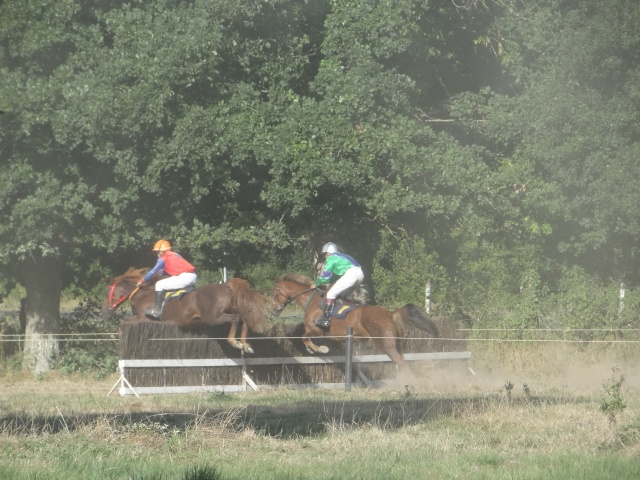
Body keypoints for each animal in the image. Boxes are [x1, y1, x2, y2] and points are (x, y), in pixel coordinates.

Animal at [101, 268, 274, 354]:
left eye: (107, 292)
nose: (102, 312)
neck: (142, 294)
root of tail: (226, 286)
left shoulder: (144, 319)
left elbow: (124, 322)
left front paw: (120, 337)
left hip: (213, 317)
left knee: (236, 319)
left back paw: (234, 342)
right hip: (229, 310)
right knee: (244, 320)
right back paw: (245, 345)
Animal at [270, 274, 440, 372]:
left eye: (274, 293)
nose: (274, 311)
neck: (311, 301)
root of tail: (390, 314)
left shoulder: (317, 330)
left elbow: (303, 337)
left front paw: (321, 349)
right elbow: (304, 337)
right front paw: (311, 350)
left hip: (387, 345)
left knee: (402, 364)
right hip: (397, 345)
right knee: (403, 361)